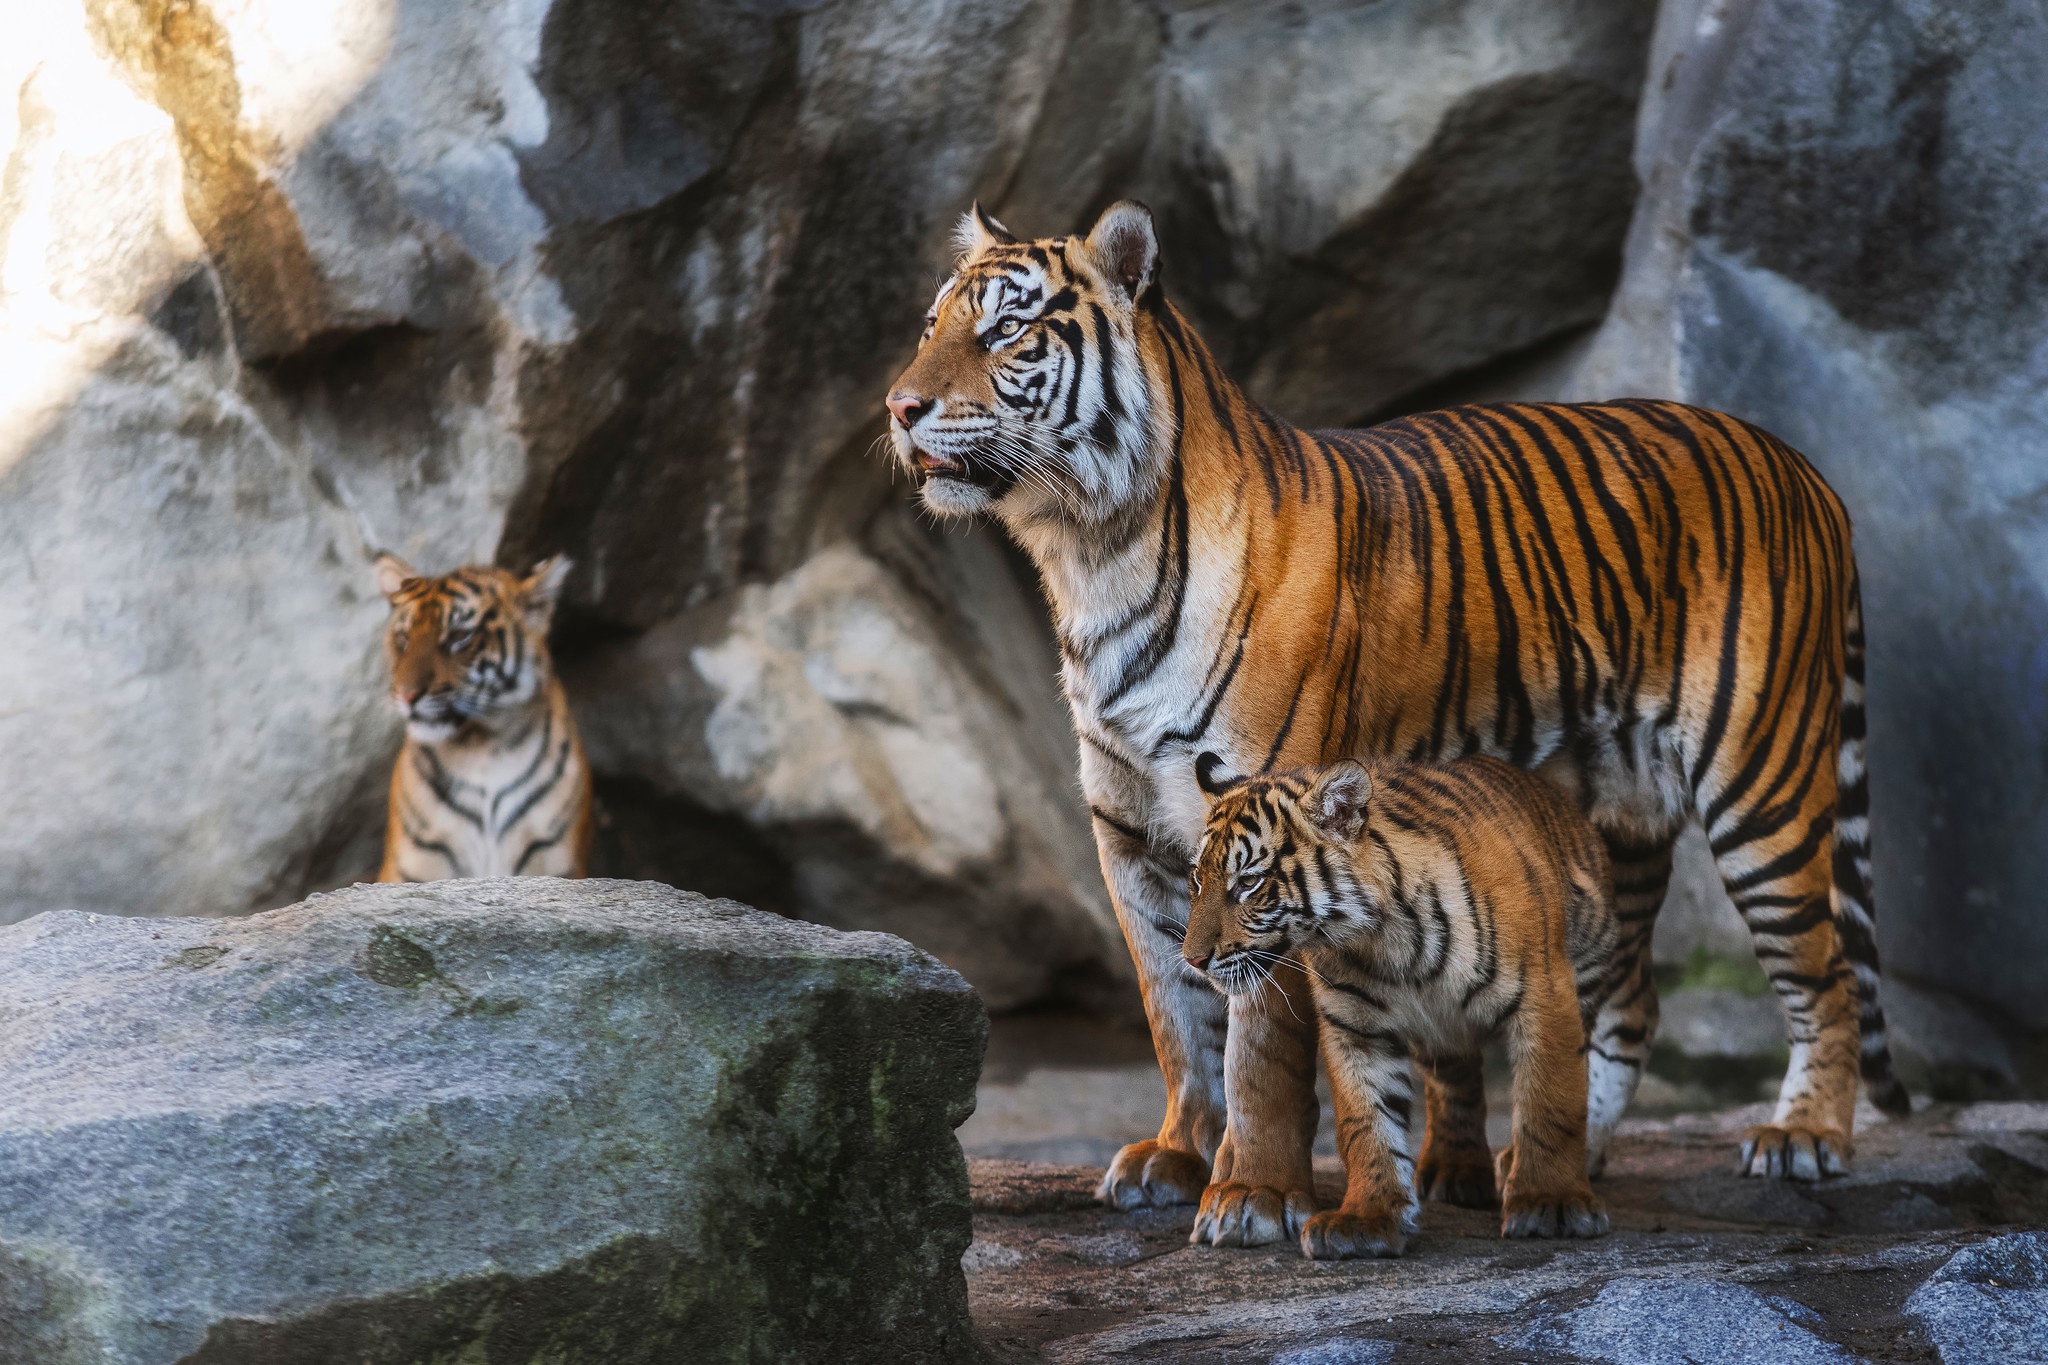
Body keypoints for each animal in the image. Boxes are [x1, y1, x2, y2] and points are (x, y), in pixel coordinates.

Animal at [372, 556, 593, 888]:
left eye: (459, 636)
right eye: (403, 638)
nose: (407, 695)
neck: (482, 747)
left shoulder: (555, 862)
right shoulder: (411, 866)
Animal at [1187, 753, 1613, 1252]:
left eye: (1249, 883)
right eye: (1197, 881)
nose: (1192, 959)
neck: (1382, 940)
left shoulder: (1545, 999)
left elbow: (1551, 1103)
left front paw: (1551, 1202)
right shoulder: (1355, 1028)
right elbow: (1366, 1122)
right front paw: (1366, 1218)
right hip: (1442, 1035)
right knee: (1455, 1084)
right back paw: (1457, 1170)